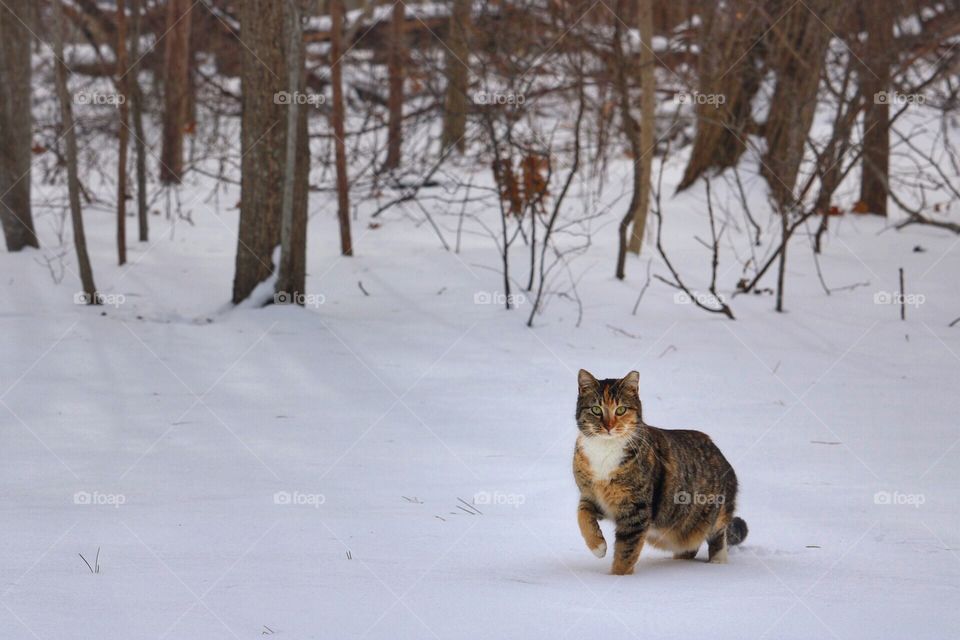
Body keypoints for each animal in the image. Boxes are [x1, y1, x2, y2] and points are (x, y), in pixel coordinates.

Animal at [568, 370, 752, 576]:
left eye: (621, 410)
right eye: (596, 410)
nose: (609, 426)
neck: (604, 451)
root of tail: (721, 455)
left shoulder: (636, 509)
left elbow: (626, 550)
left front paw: (618, 577)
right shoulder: (590, 495)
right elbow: (582, 515)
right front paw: (598, 547)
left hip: (714, 511)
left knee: (718, 536)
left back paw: (717, 563)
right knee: (690, 548)